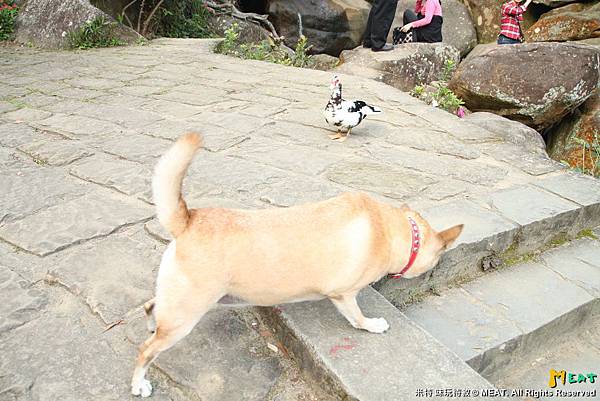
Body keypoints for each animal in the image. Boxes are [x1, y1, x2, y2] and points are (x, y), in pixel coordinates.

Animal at [130, 133, 464, 396]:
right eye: (438, 257)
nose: (434, 270)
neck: (393, 228)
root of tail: (189, 219)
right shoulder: (344, 295)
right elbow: (357, 318)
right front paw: (372, 325)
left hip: (182, 303)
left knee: (151, 307)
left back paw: (151, 325)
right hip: (186, 315)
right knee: (146, 351)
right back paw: (139, 383)